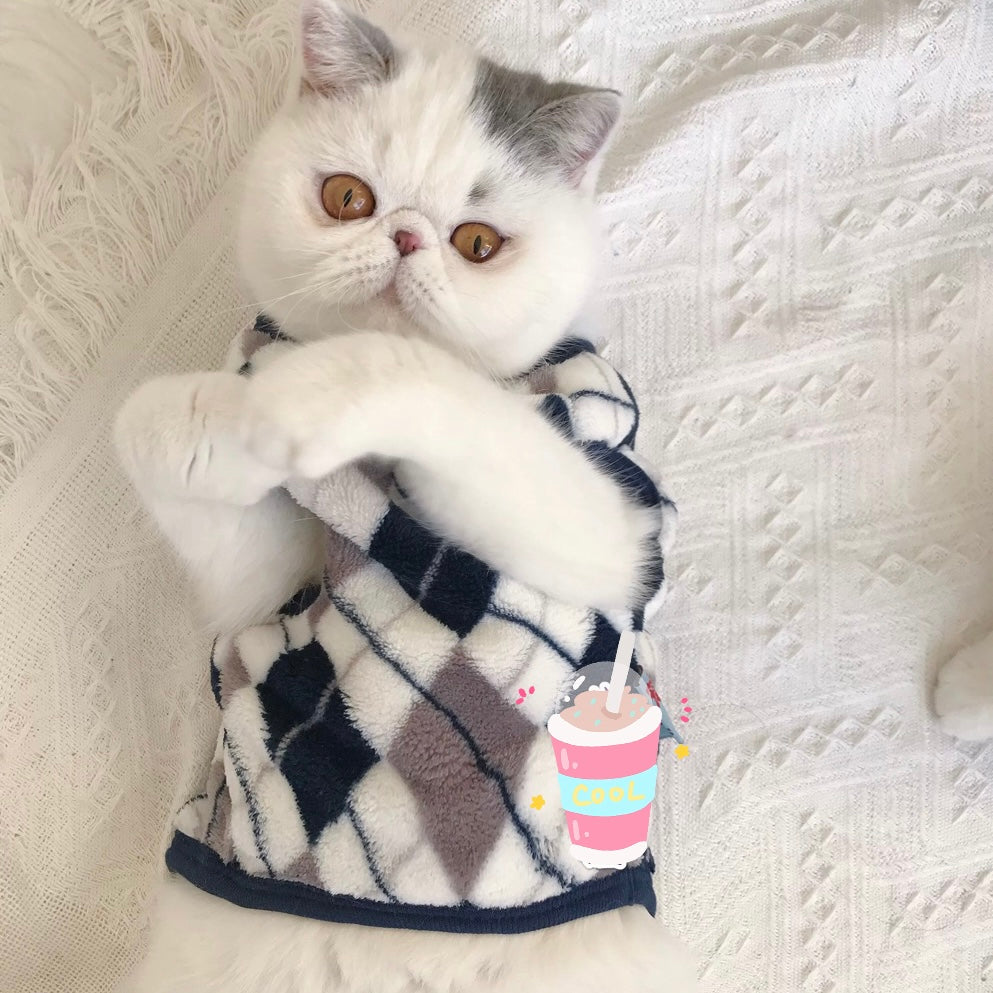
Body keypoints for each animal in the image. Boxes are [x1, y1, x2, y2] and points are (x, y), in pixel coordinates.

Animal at [113, 2, 698, 991]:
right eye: (348, 197)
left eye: (477, 243)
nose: (405, 238)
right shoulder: (266, 588)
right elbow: (151, 428)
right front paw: (224, 417)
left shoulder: (612, 516)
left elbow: (418, 374)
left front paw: (290, 397)